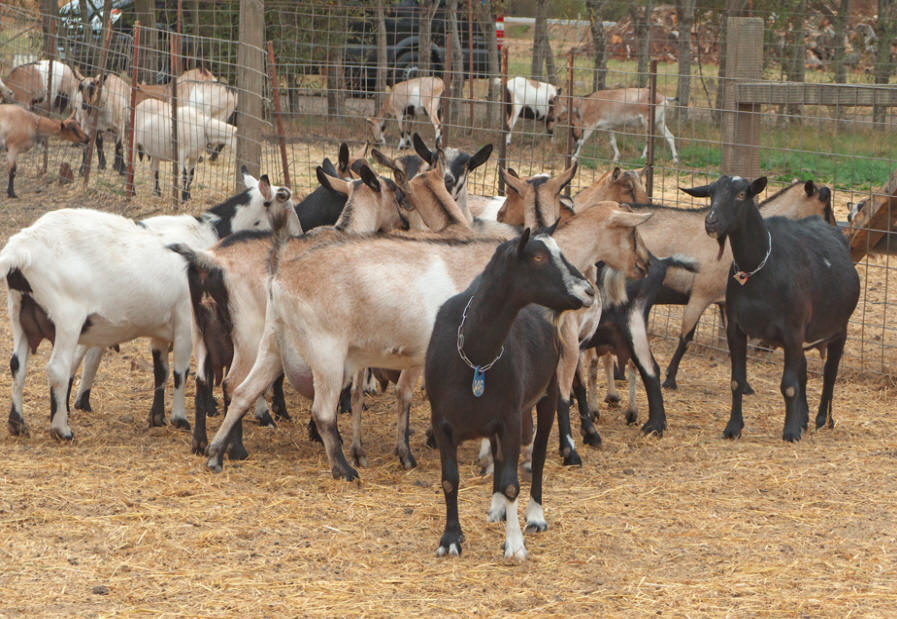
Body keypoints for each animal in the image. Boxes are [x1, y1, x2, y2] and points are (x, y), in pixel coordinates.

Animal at [198, 197, 644, 480]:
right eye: (537, 257)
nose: (587, 291)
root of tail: (281, 272)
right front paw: (485, 459)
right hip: (324, 350)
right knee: (321, 412)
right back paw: (343, 469)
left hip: (274, 343)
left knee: (242, 391)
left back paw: (217, 453)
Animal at [428, 230, 596, 564]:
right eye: (538, 257)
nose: (588, 291)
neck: (476, 356)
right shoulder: (442, 423)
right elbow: (450, 479)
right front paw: (451, 539)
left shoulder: (512, 418)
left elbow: (511, 484)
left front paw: (515, 545)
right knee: (497, 455)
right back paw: (496, 510)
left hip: (546, 395)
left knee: (539, 457)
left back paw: (535, 516)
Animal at [544, 88, 680, 165]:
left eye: (552, 105)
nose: (549, 120)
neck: (585, 103)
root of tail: (664, 98)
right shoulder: (609, 127)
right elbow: (613, 142)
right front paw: (615, 158)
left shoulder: (590, 124)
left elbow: (581, 141)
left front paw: (573, 158)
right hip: (660, 122)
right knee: (670, 137)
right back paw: (675, 159)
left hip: (648, 122)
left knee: (650, 138)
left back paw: (642, 157)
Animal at [576, 254, 700, 434]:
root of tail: (660, 262)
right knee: (634, 364)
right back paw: (634, 414)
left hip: (631, 322)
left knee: (649, 368)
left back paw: (654, 425)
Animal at [680, 177, 860, 444]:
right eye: (711, 193)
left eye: (741, 194)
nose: (711, 222)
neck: (760, 267)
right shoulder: (736, 329)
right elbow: (737, 381)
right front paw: (733, 427)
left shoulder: (793, 330)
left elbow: (788, 385)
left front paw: (791, 432)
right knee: (804, 373)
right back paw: (804, 419)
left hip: (839, 328)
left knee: (830, 372)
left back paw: (823, 419)